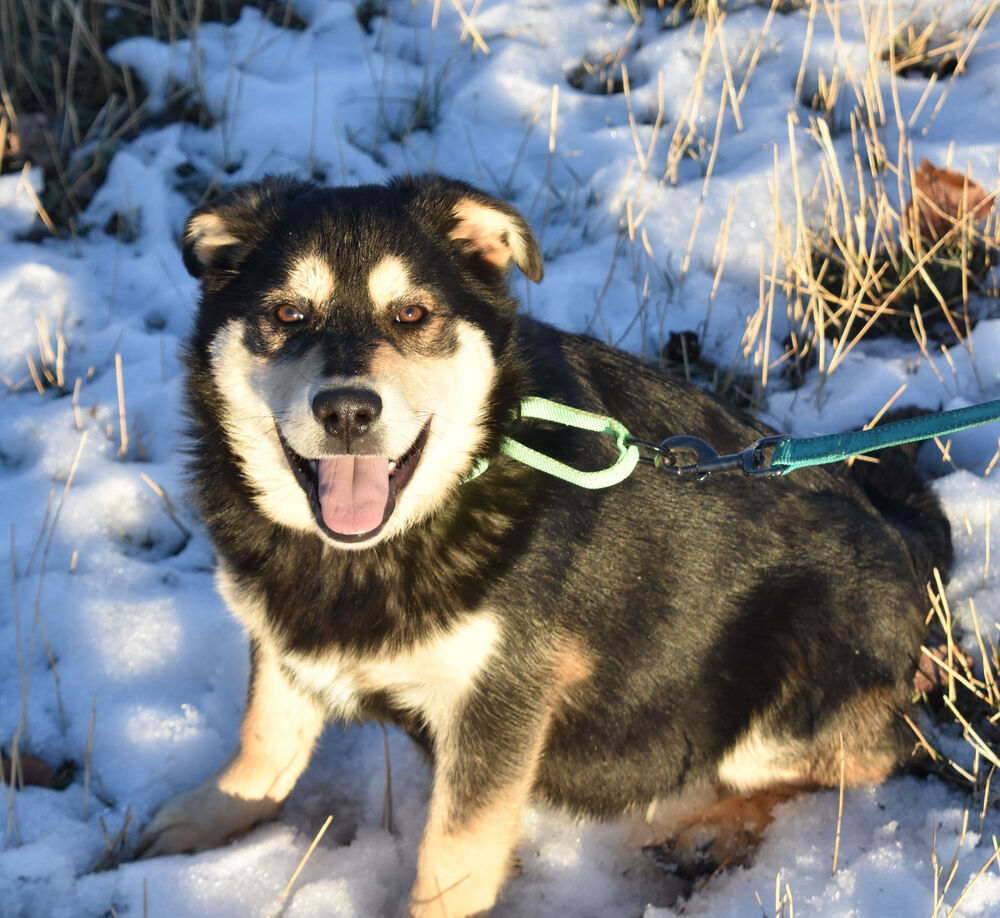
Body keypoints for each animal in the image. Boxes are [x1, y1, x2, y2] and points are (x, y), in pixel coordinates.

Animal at [135, 176, 952, 916]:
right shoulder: (283, 633)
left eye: (412, 314)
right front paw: (206, 817)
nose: (346, 411)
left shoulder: (501, 696)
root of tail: (902, 536)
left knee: (881, 756)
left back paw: (712, 830)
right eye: (286, 312)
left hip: (800, 666)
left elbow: (454, 853)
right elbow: (264, 740)